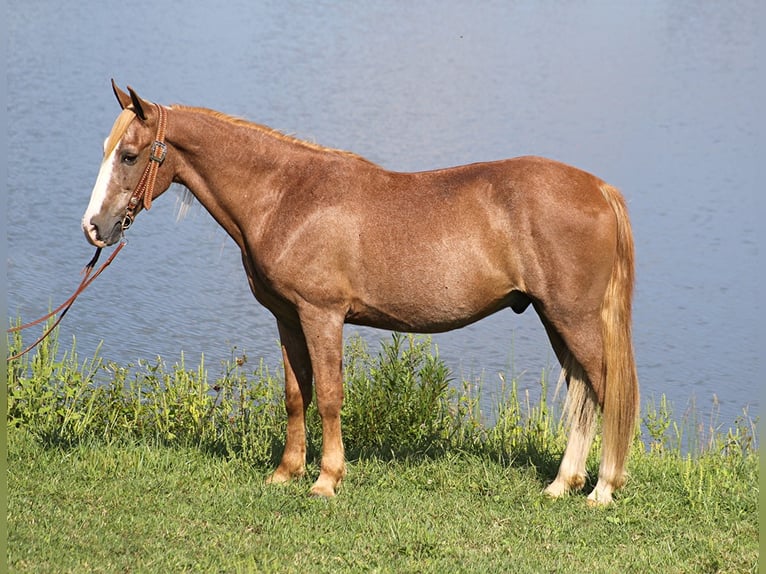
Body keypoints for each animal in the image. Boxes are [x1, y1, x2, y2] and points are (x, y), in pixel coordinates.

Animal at [81, 81, 640, 504]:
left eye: (129, 156)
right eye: (106, 151)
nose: (94, 228)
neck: (287, 196)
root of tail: (600, 189)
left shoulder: (322, 314)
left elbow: (329, 395)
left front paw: (327, 479)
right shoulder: (287, 317)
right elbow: (296, 394)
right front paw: (286, 472)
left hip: (573, 318)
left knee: (606, 389)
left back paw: (602, 490)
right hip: (554, 319)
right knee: (585, 393)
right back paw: (562, 484)